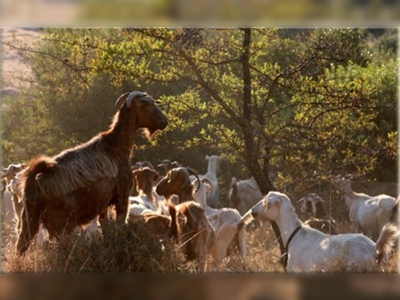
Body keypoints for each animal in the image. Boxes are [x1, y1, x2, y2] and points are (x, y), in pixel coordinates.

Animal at [16, 90, 167, 254]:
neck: (116, 144)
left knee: (21, 246)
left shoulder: (104, 204)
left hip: (29, 220)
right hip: (63, 224)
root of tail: (34, 181)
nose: (164, 121)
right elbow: (120, 224)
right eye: (148, 105)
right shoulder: (122, 196)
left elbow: (105, 226)